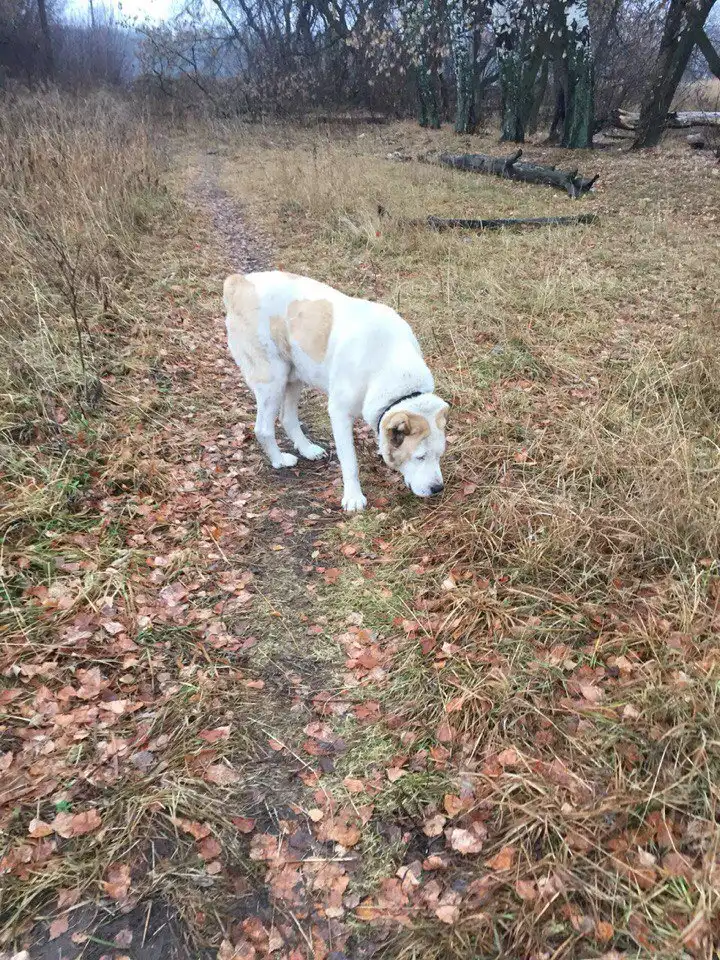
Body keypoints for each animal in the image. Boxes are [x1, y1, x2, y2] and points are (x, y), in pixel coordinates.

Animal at [223, 271, 448, 512]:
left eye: (439, 455)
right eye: (419, 457)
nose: (438, 488)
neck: (390, 362)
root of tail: (240, 282)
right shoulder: (339, 414)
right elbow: (350, 463)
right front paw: (353, 497)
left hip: (294, 375)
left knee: (287, 418)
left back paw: (307, 450)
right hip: (273, 379)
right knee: (263, 428)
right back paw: (280, 460)